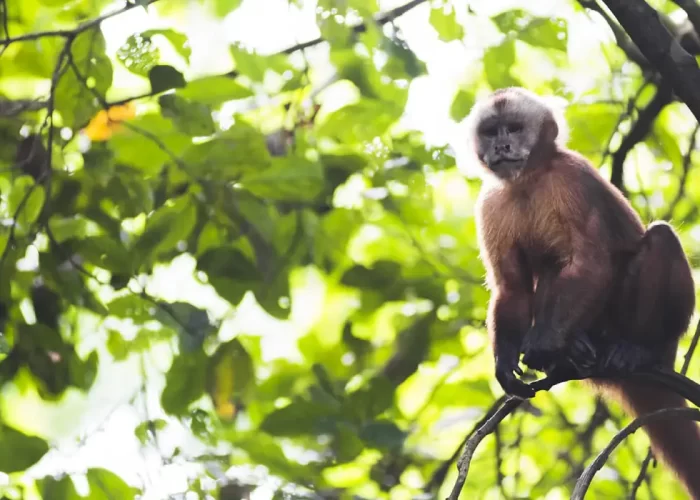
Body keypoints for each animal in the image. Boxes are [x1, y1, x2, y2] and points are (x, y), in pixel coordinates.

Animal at [465, 86, 700, 498]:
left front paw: (543, 344)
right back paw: (574, 350)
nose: (503, 146)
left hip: (651, 339)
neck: (529, 180)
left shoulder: (572, 178)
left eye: (514, 128)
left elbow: (591, 261)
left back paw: (635, 349)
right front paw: (506, 362)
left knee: (660, 239)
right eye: (492, 132)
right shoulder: (492, 202)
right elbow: (512, 287)